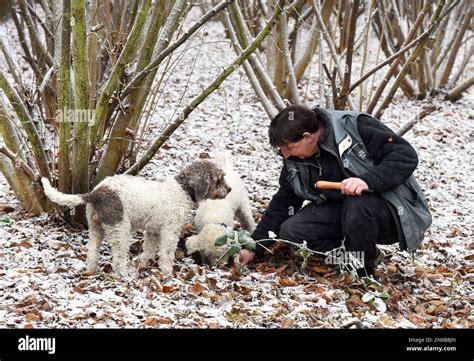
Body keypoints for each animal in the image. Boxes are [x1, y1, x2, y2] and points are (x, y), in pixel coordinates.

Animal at [41, 160, 231, 276]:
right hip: (120, 229)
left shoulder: (153, 231)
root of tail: (96, 193)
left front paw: (145, 263)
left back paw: (91, 270)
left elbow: (149, 249)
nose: (229, 189)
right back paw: (123, 276)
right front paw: (167, 271)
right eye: (219, 179)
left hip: (95, 227)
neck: (182, 189)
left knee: (92, 252)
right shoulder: (170, 231)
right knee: (118, 258)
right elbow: (166, 253)